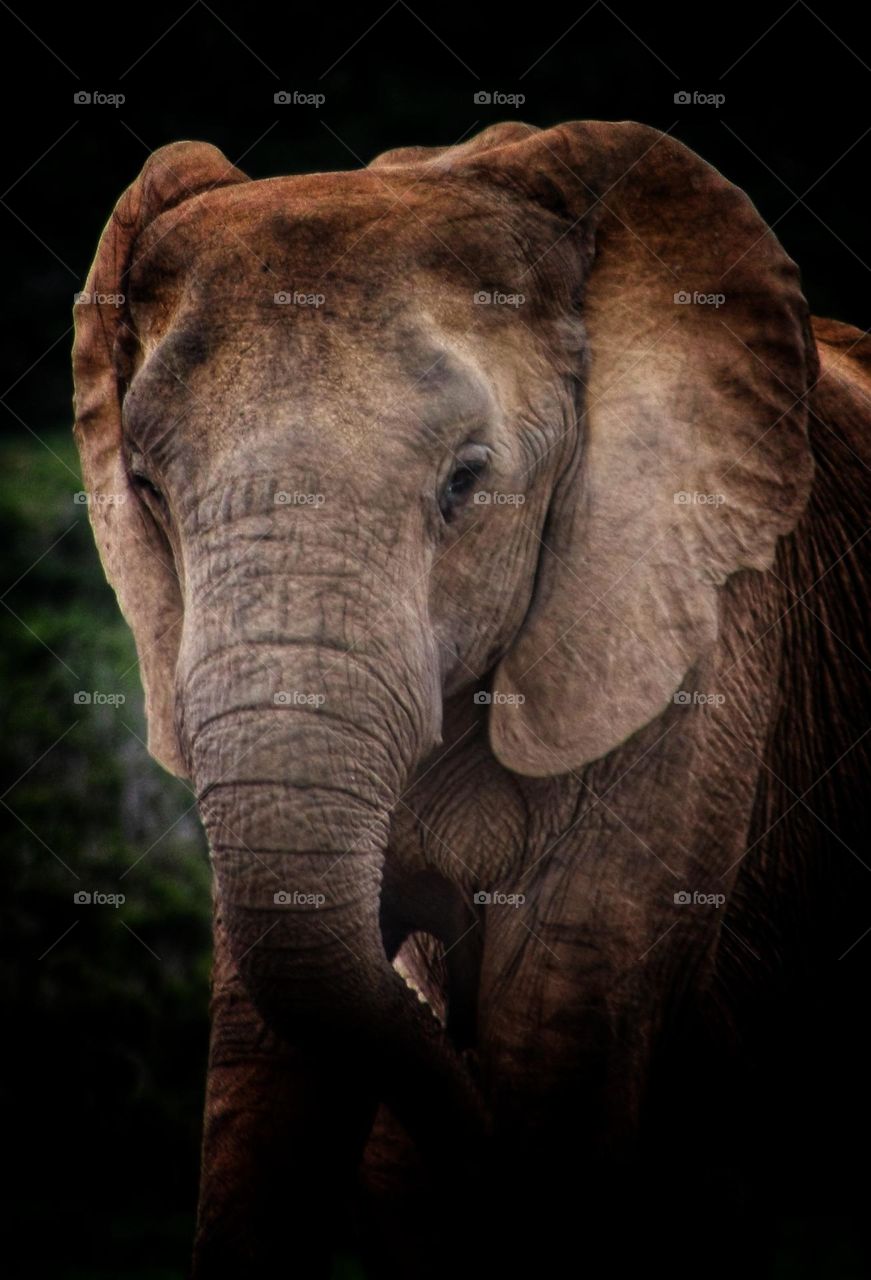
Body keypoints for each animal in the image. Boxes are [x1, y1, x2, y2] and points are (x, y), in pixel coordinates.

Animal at [72, 121, 870, 1277]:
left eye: (465, 483)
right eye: (143, 487)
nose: (467, 1146)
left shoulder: (699, 637)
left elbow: (557, 1041)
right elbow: (265, 1058)